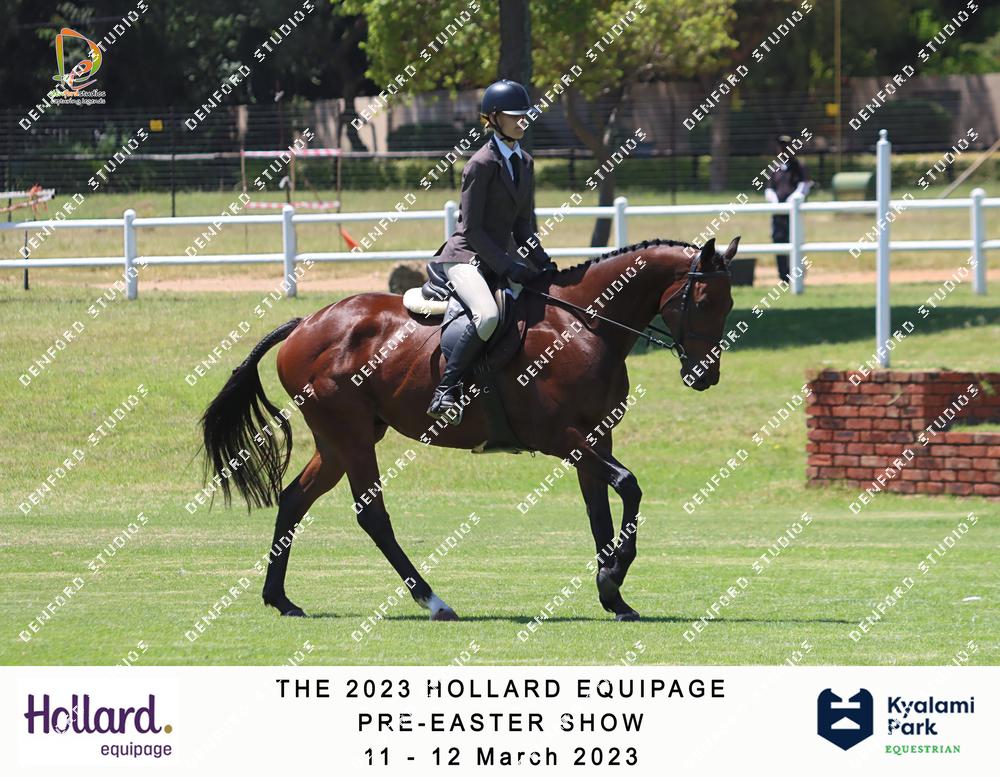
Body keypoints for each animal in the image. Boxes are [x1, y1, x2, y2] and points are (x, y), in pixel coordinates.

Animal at [200, 235, 739, 621]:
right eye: (704, 302)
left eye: (729, 304)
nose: (705, 375)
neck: (584, 328)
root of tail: (306, 323)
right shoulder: (562, 439)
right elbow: (629, 485)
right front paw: (615, 574)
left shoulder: (596, 437)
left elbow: (600, 511)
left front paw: (613, 593)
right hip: (350, 436)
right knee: (372, 516)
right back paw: (433, 601)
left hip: (341, 441)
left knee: (294, 499)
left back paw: (281, 599)